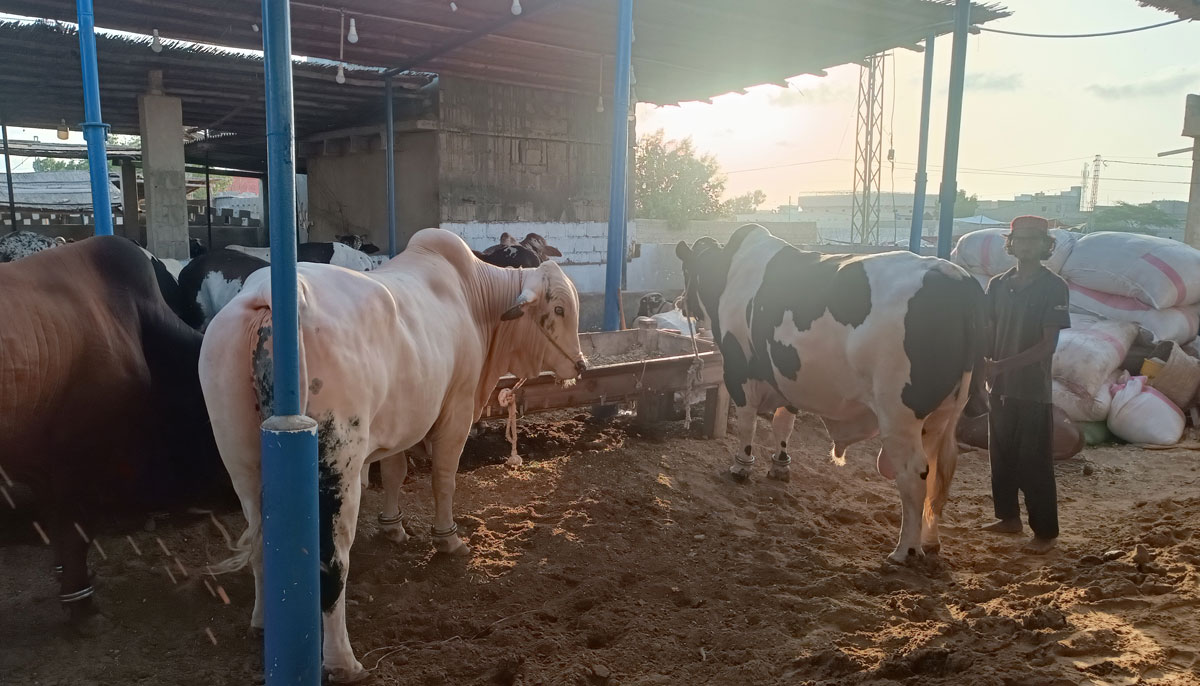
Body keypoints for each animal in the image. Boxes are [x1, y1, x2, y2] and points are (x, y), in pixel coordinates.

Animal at [676, 224, 984, 563]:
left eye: (687, 268)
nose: (679, 301)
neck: (731, 270)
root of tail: (956, 277)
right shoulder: (788, 377)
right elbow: (783, 425)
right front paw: (780, 465)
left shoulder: (739, 369)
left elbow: (747, 424)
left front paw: (741, 467)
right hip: (942, 414)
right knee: (936, 477)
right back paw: (930, 542)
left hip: (899, 414)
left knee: (914, 474)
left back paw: (905, 550)